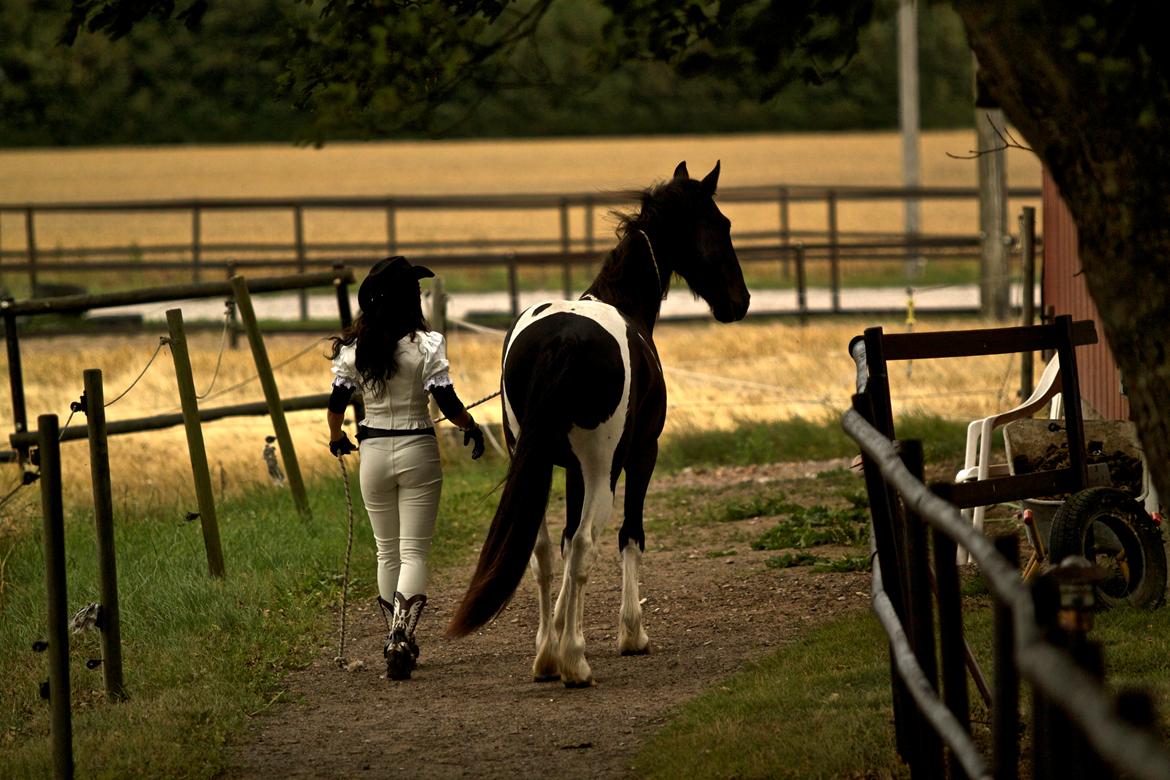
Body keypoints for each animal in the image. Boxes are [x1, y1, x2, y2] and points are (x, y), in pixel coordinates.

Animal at [446, 161, 748, 687]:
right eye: (721, 224)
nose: (742, 301)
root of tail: (563, 338)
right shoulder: (641, 455)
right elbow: (629, 536)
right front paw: (631, 635)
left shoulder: (566, 469)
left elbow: (563, 544)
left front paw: (554, 637)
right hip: (603, 467)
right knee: (588, 543)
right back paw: (575, 662)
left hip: (539, 462)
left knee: (544, 548)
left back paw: (548, 659)